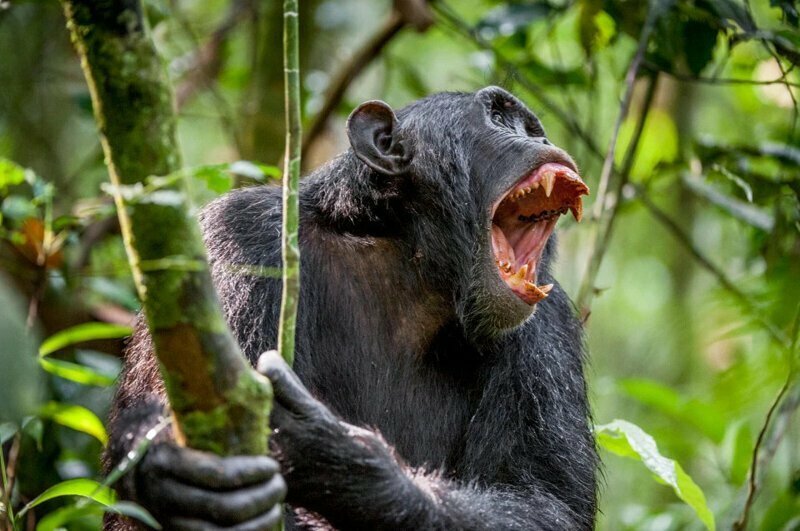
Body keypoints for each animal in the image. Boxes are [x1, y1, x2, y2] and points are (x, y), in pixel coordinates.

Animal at [104, 85, 592, 528]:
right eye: (499, 117)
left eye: (531, 128)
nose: (541, 141)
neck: (408, 259)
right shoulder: (236, 238)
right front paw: (164, 465)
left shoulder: (548, 327)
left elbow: (545, 502)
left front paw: (342, 456)